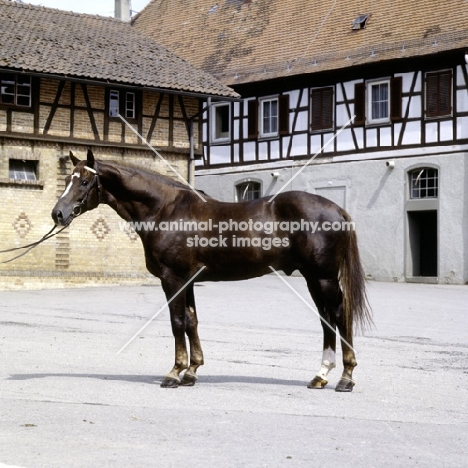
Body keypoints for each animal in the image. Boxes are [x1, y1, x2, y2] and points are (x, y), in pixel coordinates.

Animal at [52, 150, 372, 392]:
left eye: (84, 182)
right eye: (67, 179)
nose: (58, 213)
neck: (165, 210)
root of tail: (337, 210)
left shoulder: (173, 279)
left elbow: (177, 322)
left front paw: (175, 373)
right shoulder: (188, 281)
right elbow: (192, 321)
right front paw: (192, 371)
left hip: (324, 277)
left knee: (339, 316)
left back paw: (346, 378)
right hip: (312, 278)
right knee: (326, 320)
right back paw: (321, 375)